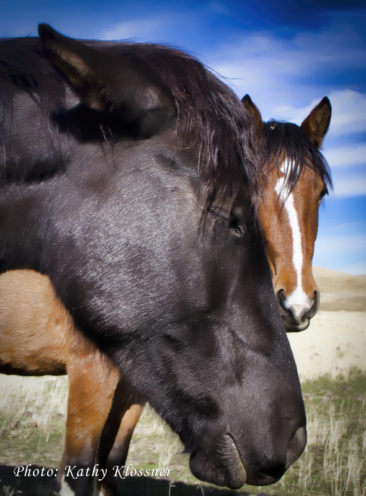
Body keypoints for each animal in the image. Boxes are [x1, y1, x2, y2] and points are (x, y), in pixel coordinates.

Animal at [0, 26, 306, 496]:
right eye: (232, 217)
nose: (295, 439)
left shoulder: (131, 390)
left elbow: (111, 463)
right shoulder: (92, 376)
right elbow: (80, 469)